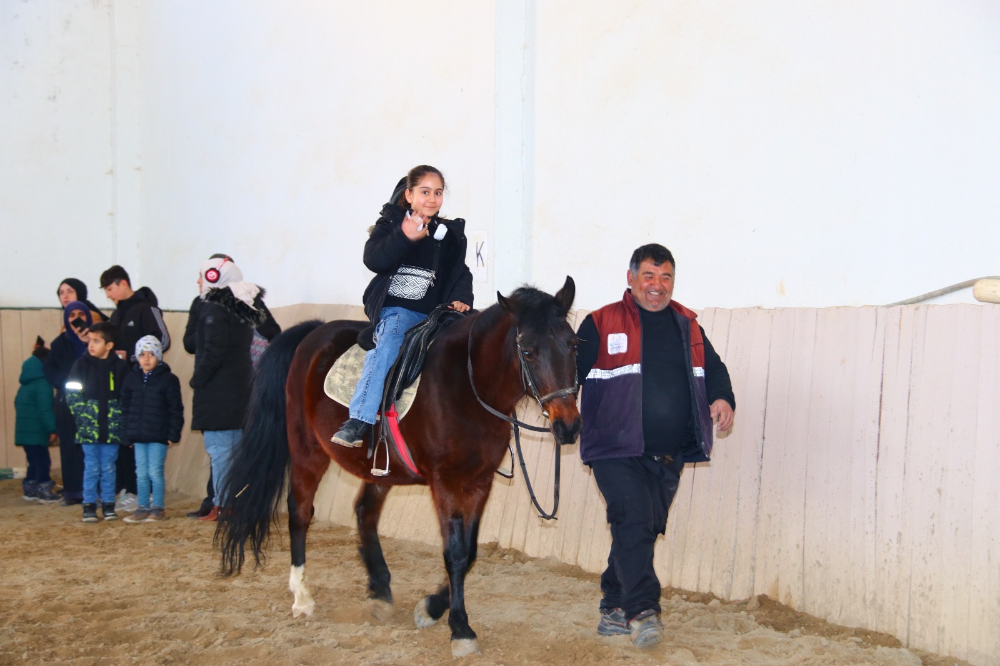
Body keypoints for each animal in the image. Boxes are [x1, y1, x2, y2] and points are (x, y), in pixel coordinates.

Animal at [215, 274, 584, 652]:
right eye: (527, 351)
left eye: (573, 345)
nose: (568, 426)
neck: (467, 386)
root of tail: (314, 332)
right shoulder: (445, 483)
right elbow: (455, 553)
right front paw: (460, 628)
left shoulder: (479, 481)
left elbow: (470, 551)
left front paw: (432, 607)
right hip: (307, 450)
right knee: (300, 512)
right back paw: (302, 597)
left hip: (379, 467)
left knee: (365, 512)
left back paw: (380, 589)